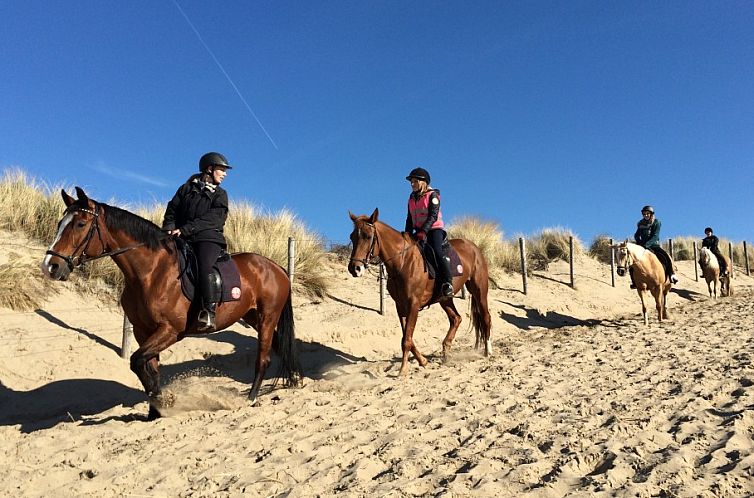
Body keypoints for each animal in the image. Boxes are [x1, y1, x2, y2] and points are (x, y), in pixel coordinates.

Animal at [40, 185, 300, 418]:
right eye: (60, 224)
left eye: (80, 224)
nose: (50, 266)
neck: (151, 272)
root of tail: (276, 267)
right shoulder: (143, 332)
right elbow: (148, 368)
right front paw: (156, 410)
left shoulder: (170, 330)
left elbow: (136, 361)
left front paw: (163, 400)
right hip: (253, 316)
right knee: (279, 345)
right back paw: (294, 379)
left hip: (267, 317)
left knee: (263, 358)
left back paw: (252, 397)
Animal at [348, 208, 494, 376]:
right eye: (352, 237)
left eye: (367, 236)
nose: (354, 269)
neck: (403, 262)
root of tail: (474, 247)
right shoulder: (401, 306)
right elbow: (407, 337)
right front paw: (423, 361)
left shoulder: (413, 304)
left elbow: (406, 340)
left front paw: (403, 370)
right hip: (445, 298)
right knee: (456, 319)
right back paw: (446, 351)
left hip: (479, 290)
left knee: (486, 317)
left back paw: (488, 351)